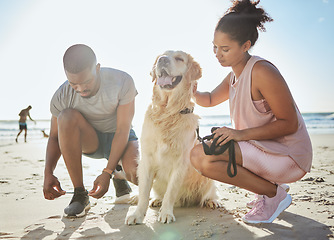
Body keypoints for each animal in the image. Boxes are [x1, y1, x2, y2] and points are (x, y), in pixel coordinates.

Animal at [125, 50, 219, 225]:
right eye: (160, 55)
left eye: (179, 59)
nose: (162, 60)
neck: (168, 111)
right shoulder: (146, 160)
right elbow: (144, 193)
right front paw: (137, 214)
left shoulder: (180, 162)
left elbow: (171, 192)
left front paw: (166, 213)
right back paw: (156, 200)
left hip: (207, 177)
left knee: (211, 191)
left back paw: (211, 201)